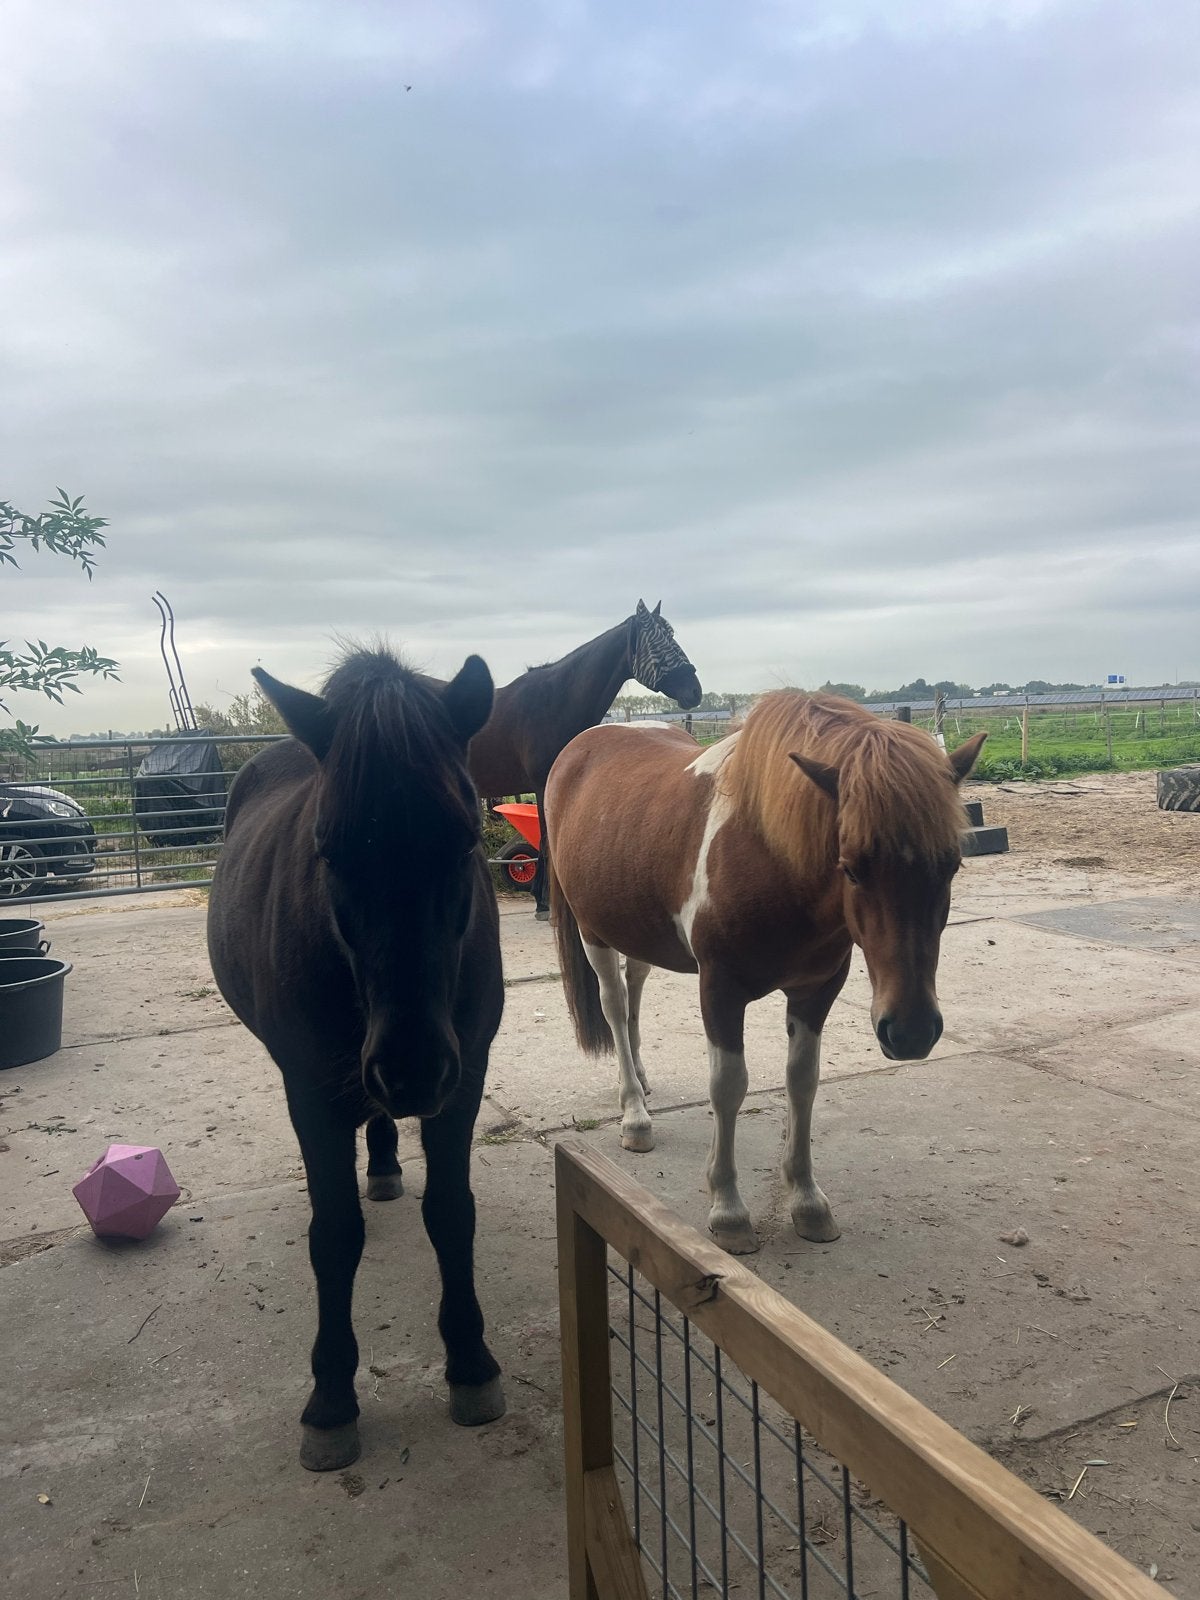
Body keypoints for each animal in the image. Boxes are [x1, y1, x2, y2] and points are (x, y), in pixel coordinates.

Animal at [207, 646, 506, 1470]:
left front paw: (470, 1363)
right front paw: (332, 1398)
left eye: (464, 841)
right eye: (329, 851)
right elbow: (334, 1235)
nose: (410, 1068)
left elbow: (453, 1212)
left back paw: (384, 1160)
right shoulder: (310, 1090)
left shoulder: (464, 1077)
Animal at [467, 599, 702, 917]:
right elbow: (545, 839)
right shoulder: (542, 785)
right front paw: (543, 902)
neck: (554, 702)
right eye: (658, 642)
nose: (695, 691)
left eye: (672, 635)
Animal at [546, 692, 986, 1255]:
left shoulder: (817, 991)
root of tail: (584, 743)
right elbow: (728, 1086)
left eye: (951, 864)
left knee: (635, 982)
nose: (910, 1032)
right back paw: (634, 1114)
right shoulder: (719, 989)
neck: (771, 858)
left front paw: (807, 1199)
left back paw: (641, 1079)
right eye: (851, 867)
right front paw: (728, 1209)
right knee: (615, 1007)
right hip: (593, 930)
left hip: (633, 922)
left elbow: (802, 1081)